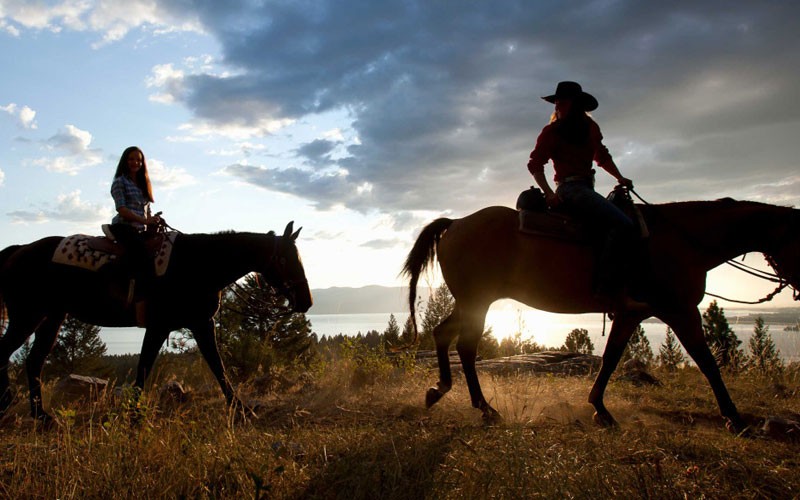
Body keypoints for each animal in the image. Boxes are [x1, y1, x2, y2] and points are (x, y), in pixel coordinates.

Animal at [0, 223, 310, 422]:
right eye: (286, 260)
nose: (306, 301)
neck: (199, 264)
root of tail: (19, 249)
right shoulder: (160, 325)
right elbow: (145, 366)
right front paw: (135, 414)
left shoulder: (200, 323)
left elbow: (217, 366)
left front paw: (242, 409)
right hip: (27, 316)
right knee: (8, 352)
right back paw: (8, 403)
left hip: (51, 317)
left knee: (34, 361)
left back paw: (41, 416)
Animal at [406, 200, 800, 434]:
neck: (679, 241)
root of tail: (456, 222)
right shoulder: (679, 310)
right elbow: (707, 362)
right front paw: (734, 417)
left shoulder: (630, 313)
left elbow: (611, 358)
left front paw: (600, 409)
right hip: (478, 301)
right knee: (467, 348)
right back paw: (485, 408)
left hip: (469, 301)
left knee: (443, 335)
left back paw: (439, 390)